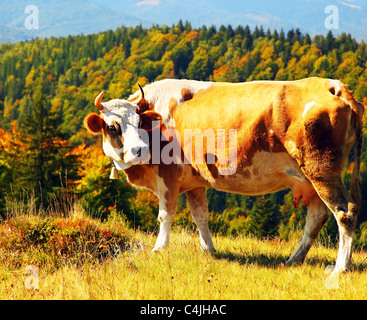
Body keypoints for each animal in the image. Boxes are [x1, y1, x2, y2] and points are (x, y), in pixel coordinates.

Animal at [85, 77, 364, 272]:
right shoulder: (194, 182)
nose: (138, 150)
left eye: (138, 122)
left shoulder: (167, 176)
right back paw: (294, 260)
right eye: (112, 126)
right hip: (311, 178)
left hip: (321, 169)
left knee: (345, 212)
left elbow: (165, 216)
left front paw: (159, 249)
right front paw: (208, 249)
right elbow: (201, 216)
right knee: (316, 217)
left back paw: (341, 268)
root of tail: (333, 84)